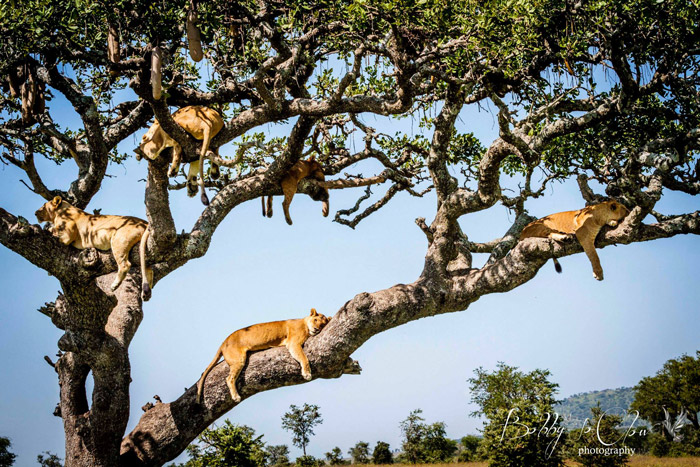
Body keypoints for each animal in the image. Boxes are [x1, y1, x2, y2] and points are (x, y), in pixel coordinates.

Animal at [196, 308, 331, 404]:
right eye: (316, 320)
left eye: (323, 325)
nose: (316, 329)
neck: (304, 323)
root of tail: (224, 341)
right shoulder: (293, 343)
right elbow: (304, 358)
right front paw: (307, 374)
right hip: (238, 359)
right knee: (229, 379)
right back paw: (236, 397)